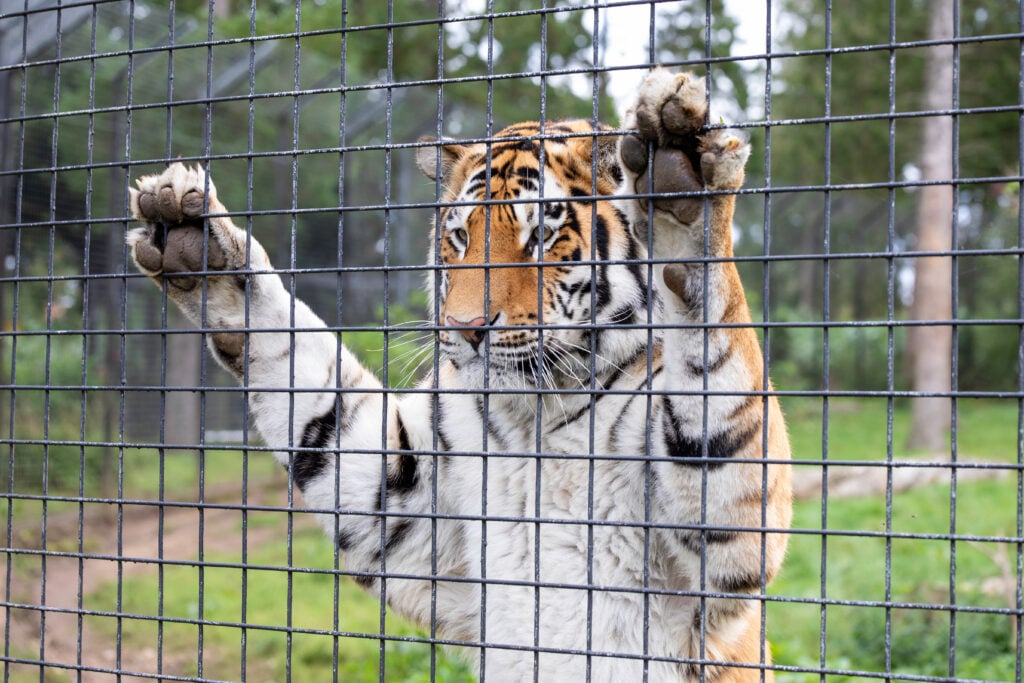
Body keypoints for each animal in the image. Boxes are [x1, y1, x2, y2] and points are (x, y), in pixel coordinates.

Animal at [128, 66, 794, 679]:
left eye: (541, 235)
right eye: (458, 236)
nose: (468, 327)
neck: (534, 419)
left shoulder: (719, 552)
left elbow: (716, 374)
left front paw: (682, 181)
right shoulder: (402, 504)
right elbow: (309, 385)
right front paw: (195, 240)